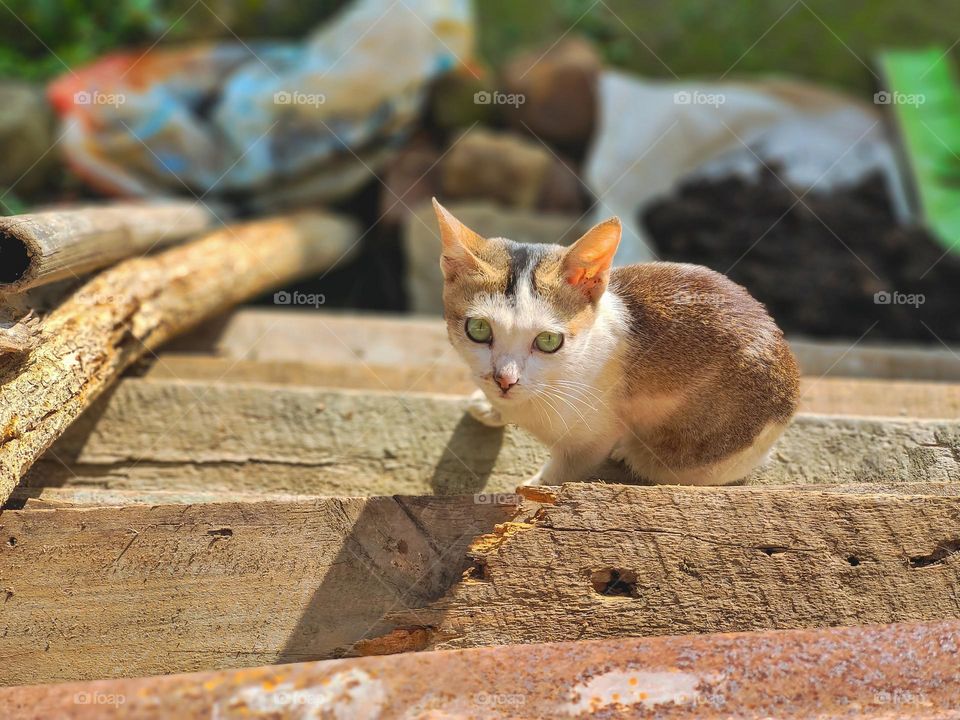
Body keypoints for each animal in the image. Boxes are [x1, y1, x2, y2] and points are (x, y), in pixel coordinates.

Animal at [432, 200, 800, 486]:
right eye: (479, 329)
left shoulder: (591, 441)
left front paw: (528, 495)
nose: (505, 380)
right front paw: (488, 406)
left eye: (548, 341)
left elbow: (557, 476)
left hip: (679, 458)